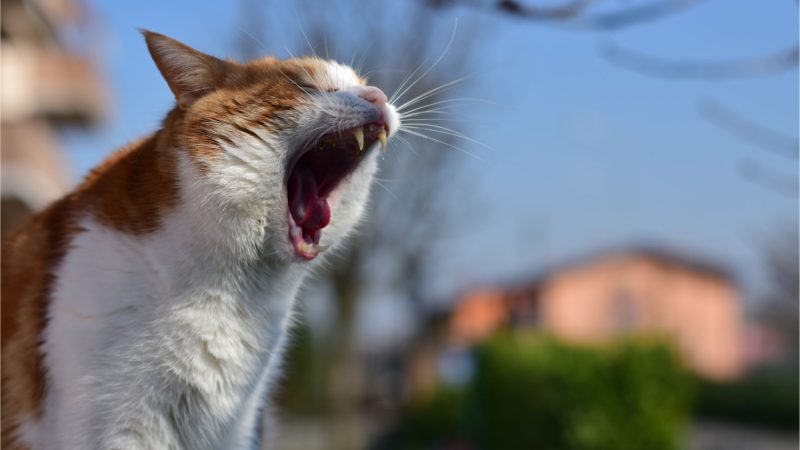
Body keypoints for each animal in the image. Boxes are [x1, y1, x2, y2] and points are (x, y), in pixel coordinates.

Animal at [0, 29, 400, 448]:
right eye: (307, 85)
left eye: (363, 84)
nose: (377, 96)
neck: (235, 295)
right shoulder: (118, 429)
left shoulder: (237, 427)